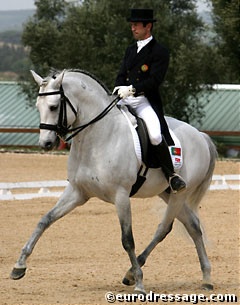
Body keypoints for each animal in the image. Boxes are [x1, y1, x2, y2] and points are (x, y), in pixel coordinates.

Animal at [10, 68, 218, 292]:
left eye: (54, 106)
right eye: (38, 107)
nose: (46, 143)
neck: (97, 138)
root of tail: (200, 135)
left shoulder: (121, 196)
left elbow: (127, 239)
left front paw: (140, 284)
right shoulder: (77, 192)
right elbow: (45, 220)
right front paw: (19, 266)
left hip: (179, 193)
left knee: (164, 228)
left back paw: (134, 274)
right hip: (166, 192)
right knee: (193, 226)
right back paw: (206, 278)